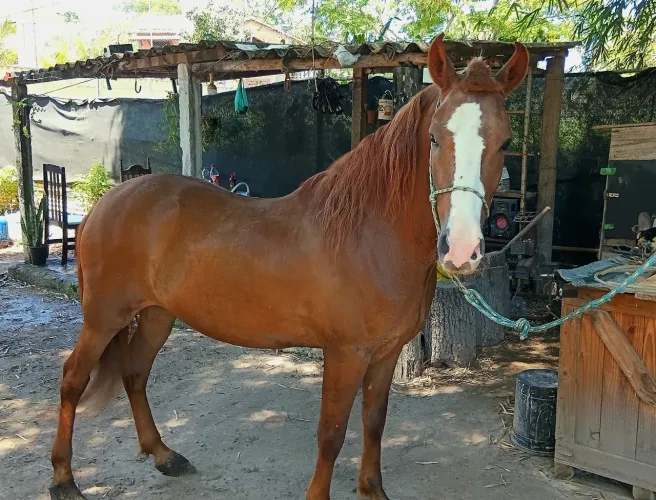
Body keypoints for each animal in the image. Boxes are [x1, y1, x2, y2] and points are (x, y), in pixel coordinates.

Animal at [49, 33, 529, 500]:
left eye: (505, 142)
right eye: (434, 138)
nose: (461, 249)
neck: (369, 233)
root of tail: (103, 204)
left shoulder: (386, 354)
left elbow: (374, 423)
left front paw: (372, 490)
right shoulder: (345, 355)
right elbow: (331, 435)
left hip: (156, 315)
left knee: (134, 373)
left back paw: (164, 455)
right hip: (104, 318)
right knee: (73, 378)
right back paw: (64, 479)